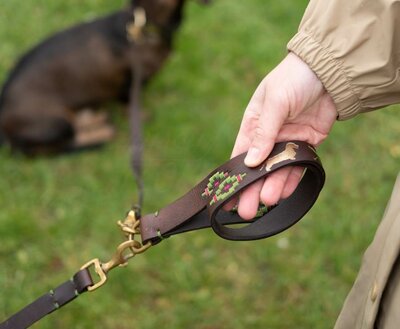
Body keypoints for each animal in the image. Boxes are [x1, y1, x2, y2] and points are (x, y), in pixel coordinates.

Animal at [0, 0, 208, 154]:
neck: (142, 28)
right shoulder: (130, 83)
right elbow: (129, 104)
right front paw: (140, 116)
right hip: (56, 123)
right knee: (62, 143)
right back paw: (101, 133)